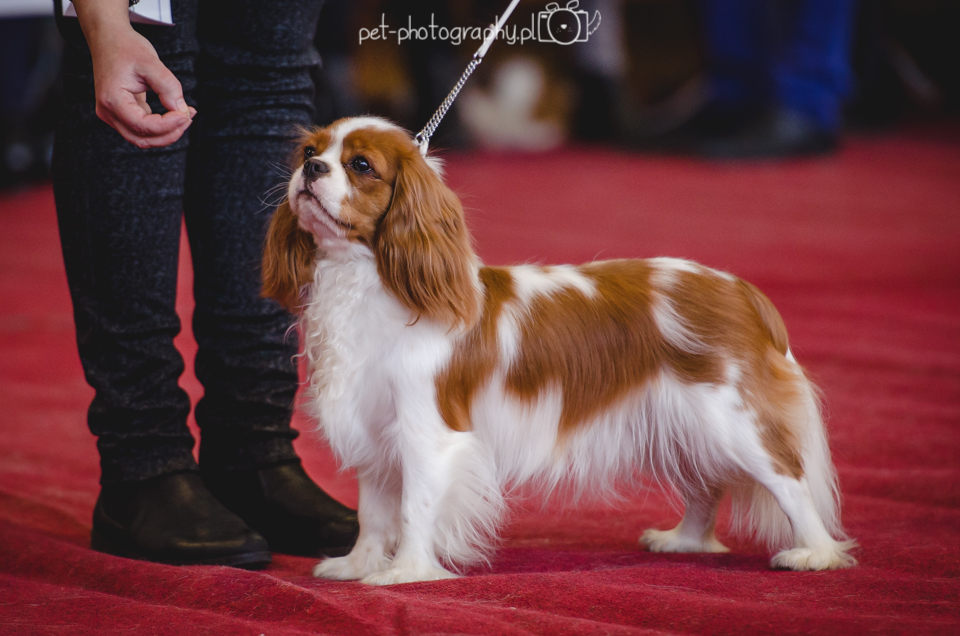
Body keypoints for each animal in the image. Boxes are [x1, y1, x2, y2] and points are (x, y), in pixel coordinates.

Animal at [262, 116, 856, 585]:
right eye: (311, 151)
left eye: (361, 165)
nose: (312, 170)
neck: (365, 280)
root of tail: (741, 290)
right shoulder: (374, 428)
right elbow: (374, 512)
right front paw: (358, 565)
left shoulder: (425, 429)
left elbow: (414, 507)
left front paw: (404, 573)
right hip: (686, 423)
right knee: (706, 486)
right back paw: (684, 541)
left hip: (731, 419)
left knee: (789, 477)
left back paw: (815, 553)